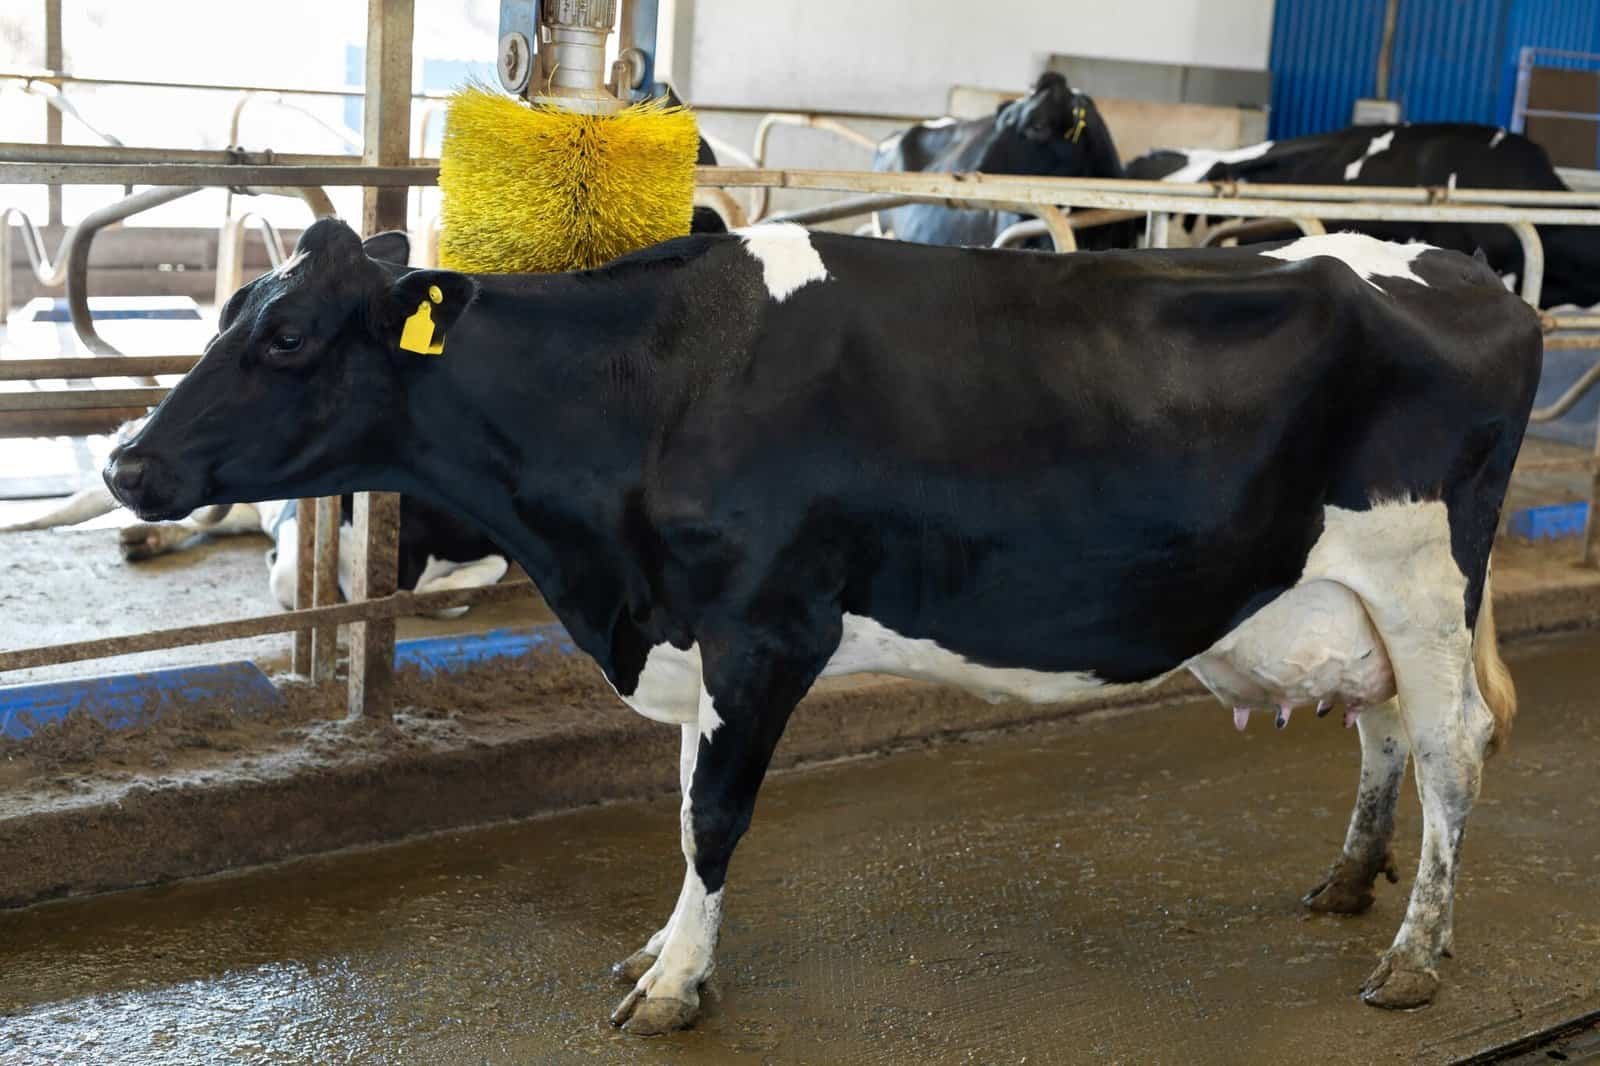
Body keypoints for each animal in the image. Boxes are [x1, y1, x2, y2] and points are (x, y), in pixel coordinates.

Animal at [105, 217, 1539, 1034]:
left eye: (287, 335)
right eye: (231, 316)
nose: (124, 461)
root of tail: (1468, 271)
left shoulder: (764, 628)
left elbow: (713, 814)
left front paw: (675, 987)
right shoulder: (691, 634)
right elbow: (684, 801)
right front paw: (661, 947)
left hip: (1421, 573)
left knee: (1456, 745)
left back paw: (1416, 952)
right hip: (1352, 596)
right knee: (1385, 727)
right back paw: (1350, 879)